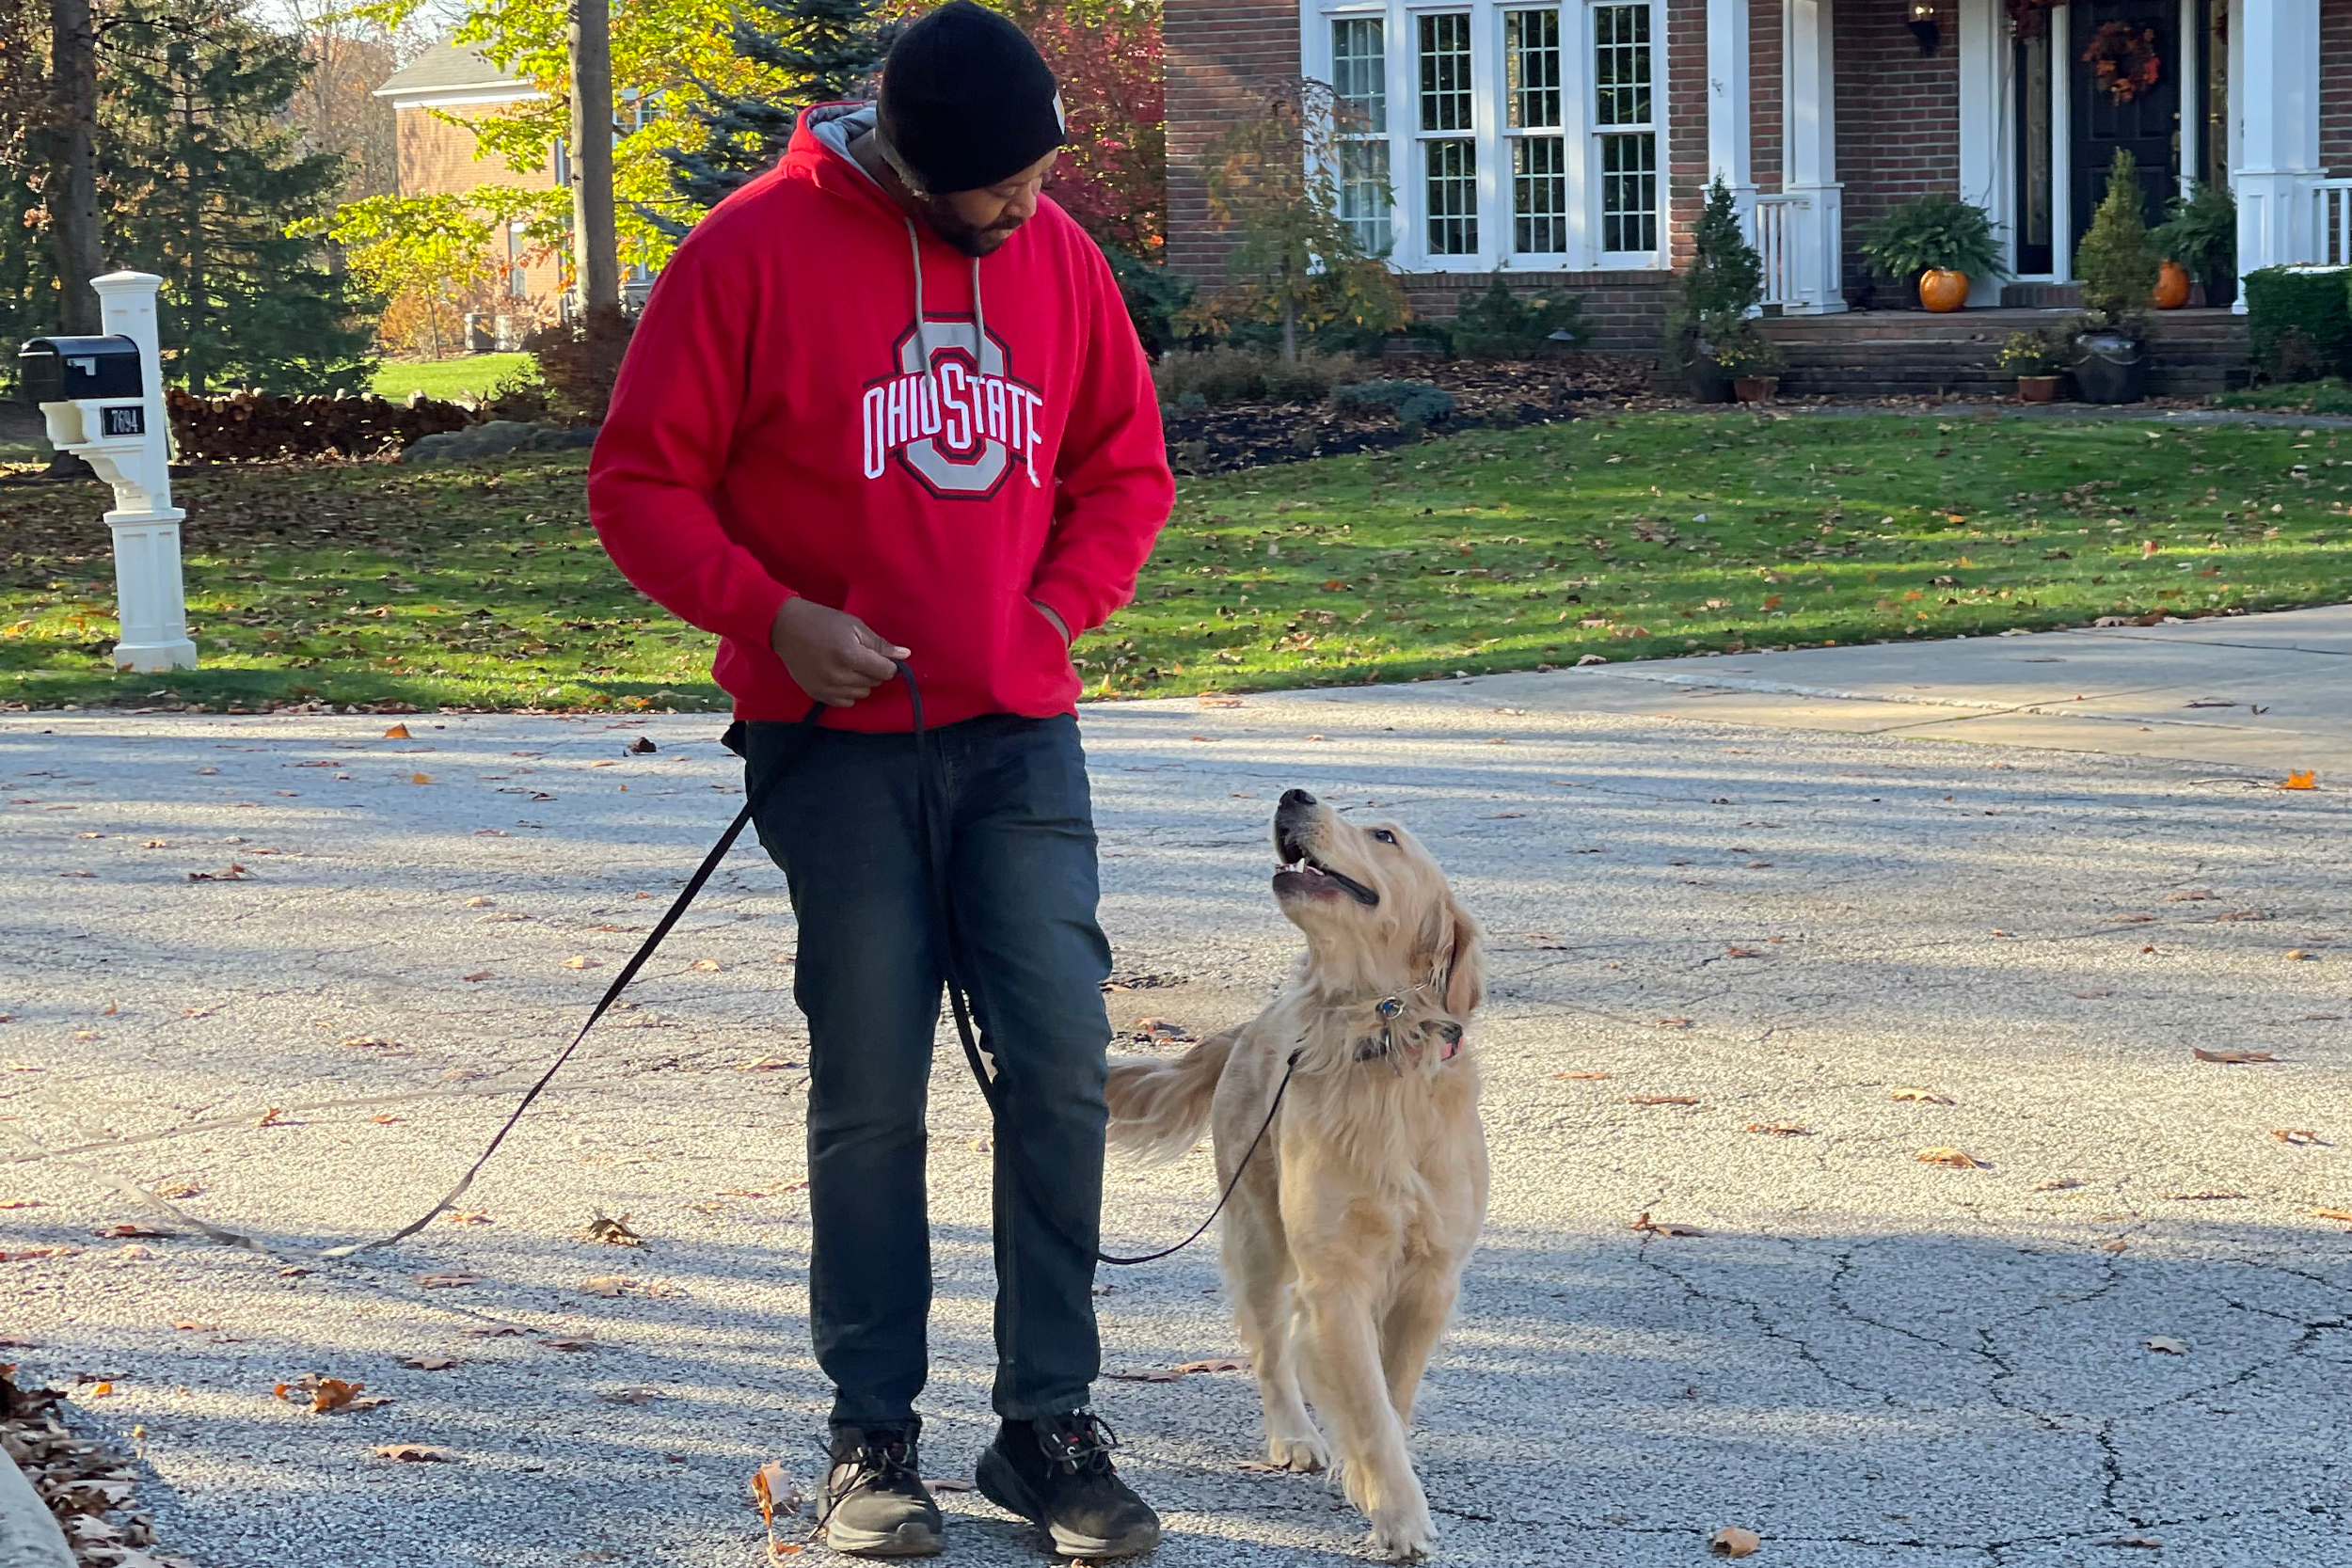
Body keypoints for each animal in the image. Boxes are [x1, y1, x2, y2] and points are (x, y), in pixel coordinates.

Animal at [1105, 784, 1477, 1560]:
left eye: (1385, 835)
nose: (1293, 793)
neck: (1378, 1040)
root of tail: (1246, 1026)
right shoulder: (1333, 1274)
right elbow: (1367, 1401)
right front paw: (1397, 1511)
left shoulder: (1430, 1277)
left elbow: (1391, 1393)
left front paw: (1376, 1484)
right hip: (1258, 1233)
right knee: (1269, 1348)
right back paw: (1294, 1435)